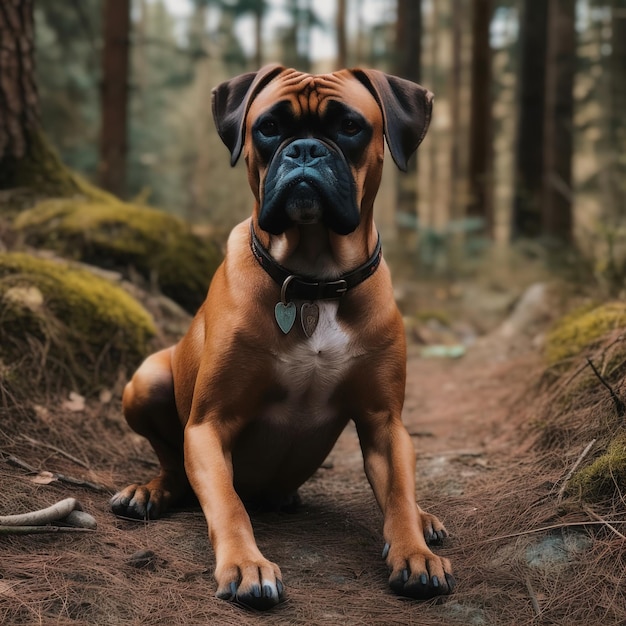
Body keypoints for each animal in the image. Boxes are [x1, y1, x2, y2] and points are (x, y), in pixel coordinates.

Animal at [111, 66, 454, 608]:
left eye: (350, 126)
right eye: (268, 128)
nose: (306, 150)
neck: (313, 282)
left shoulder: (385, 423)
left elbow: (398, 495)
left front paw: (413, 551)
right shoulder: (208, 426)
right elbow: (227, 503)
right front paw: (246, 565)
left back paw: (425, 520)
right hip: (146, 379)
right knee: (175, 467)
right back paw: (151, 491)